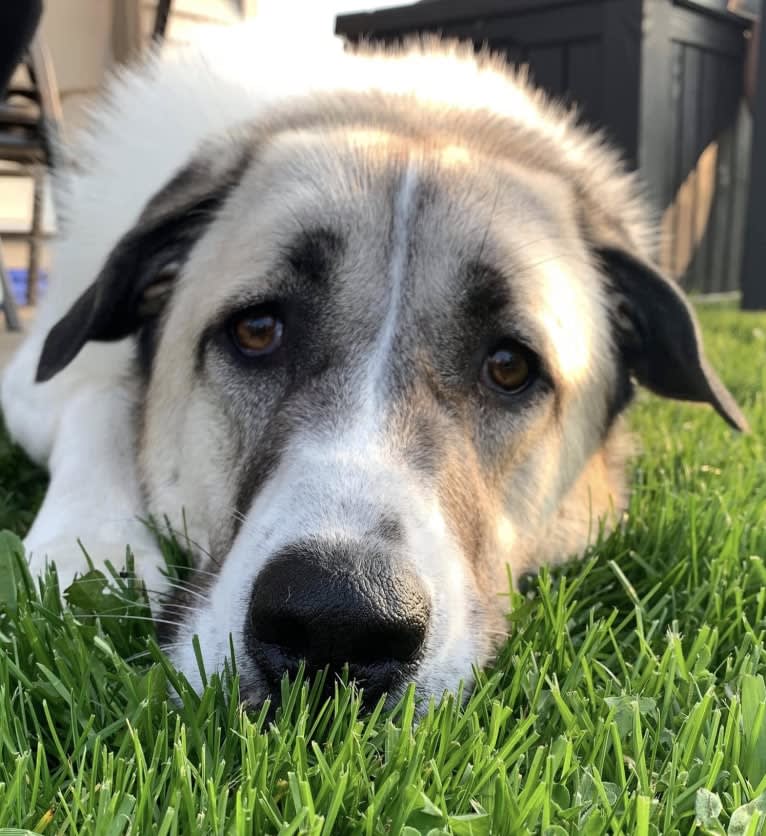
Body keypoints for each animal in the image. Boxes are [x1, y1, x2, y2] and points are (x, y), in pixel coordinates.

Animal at [0, 31, 748, 712]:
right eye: (257, 330)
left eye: (509, 366)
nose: (337, 622)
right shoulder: (32, 382)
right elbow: (94, 400)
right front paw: (82, 548)